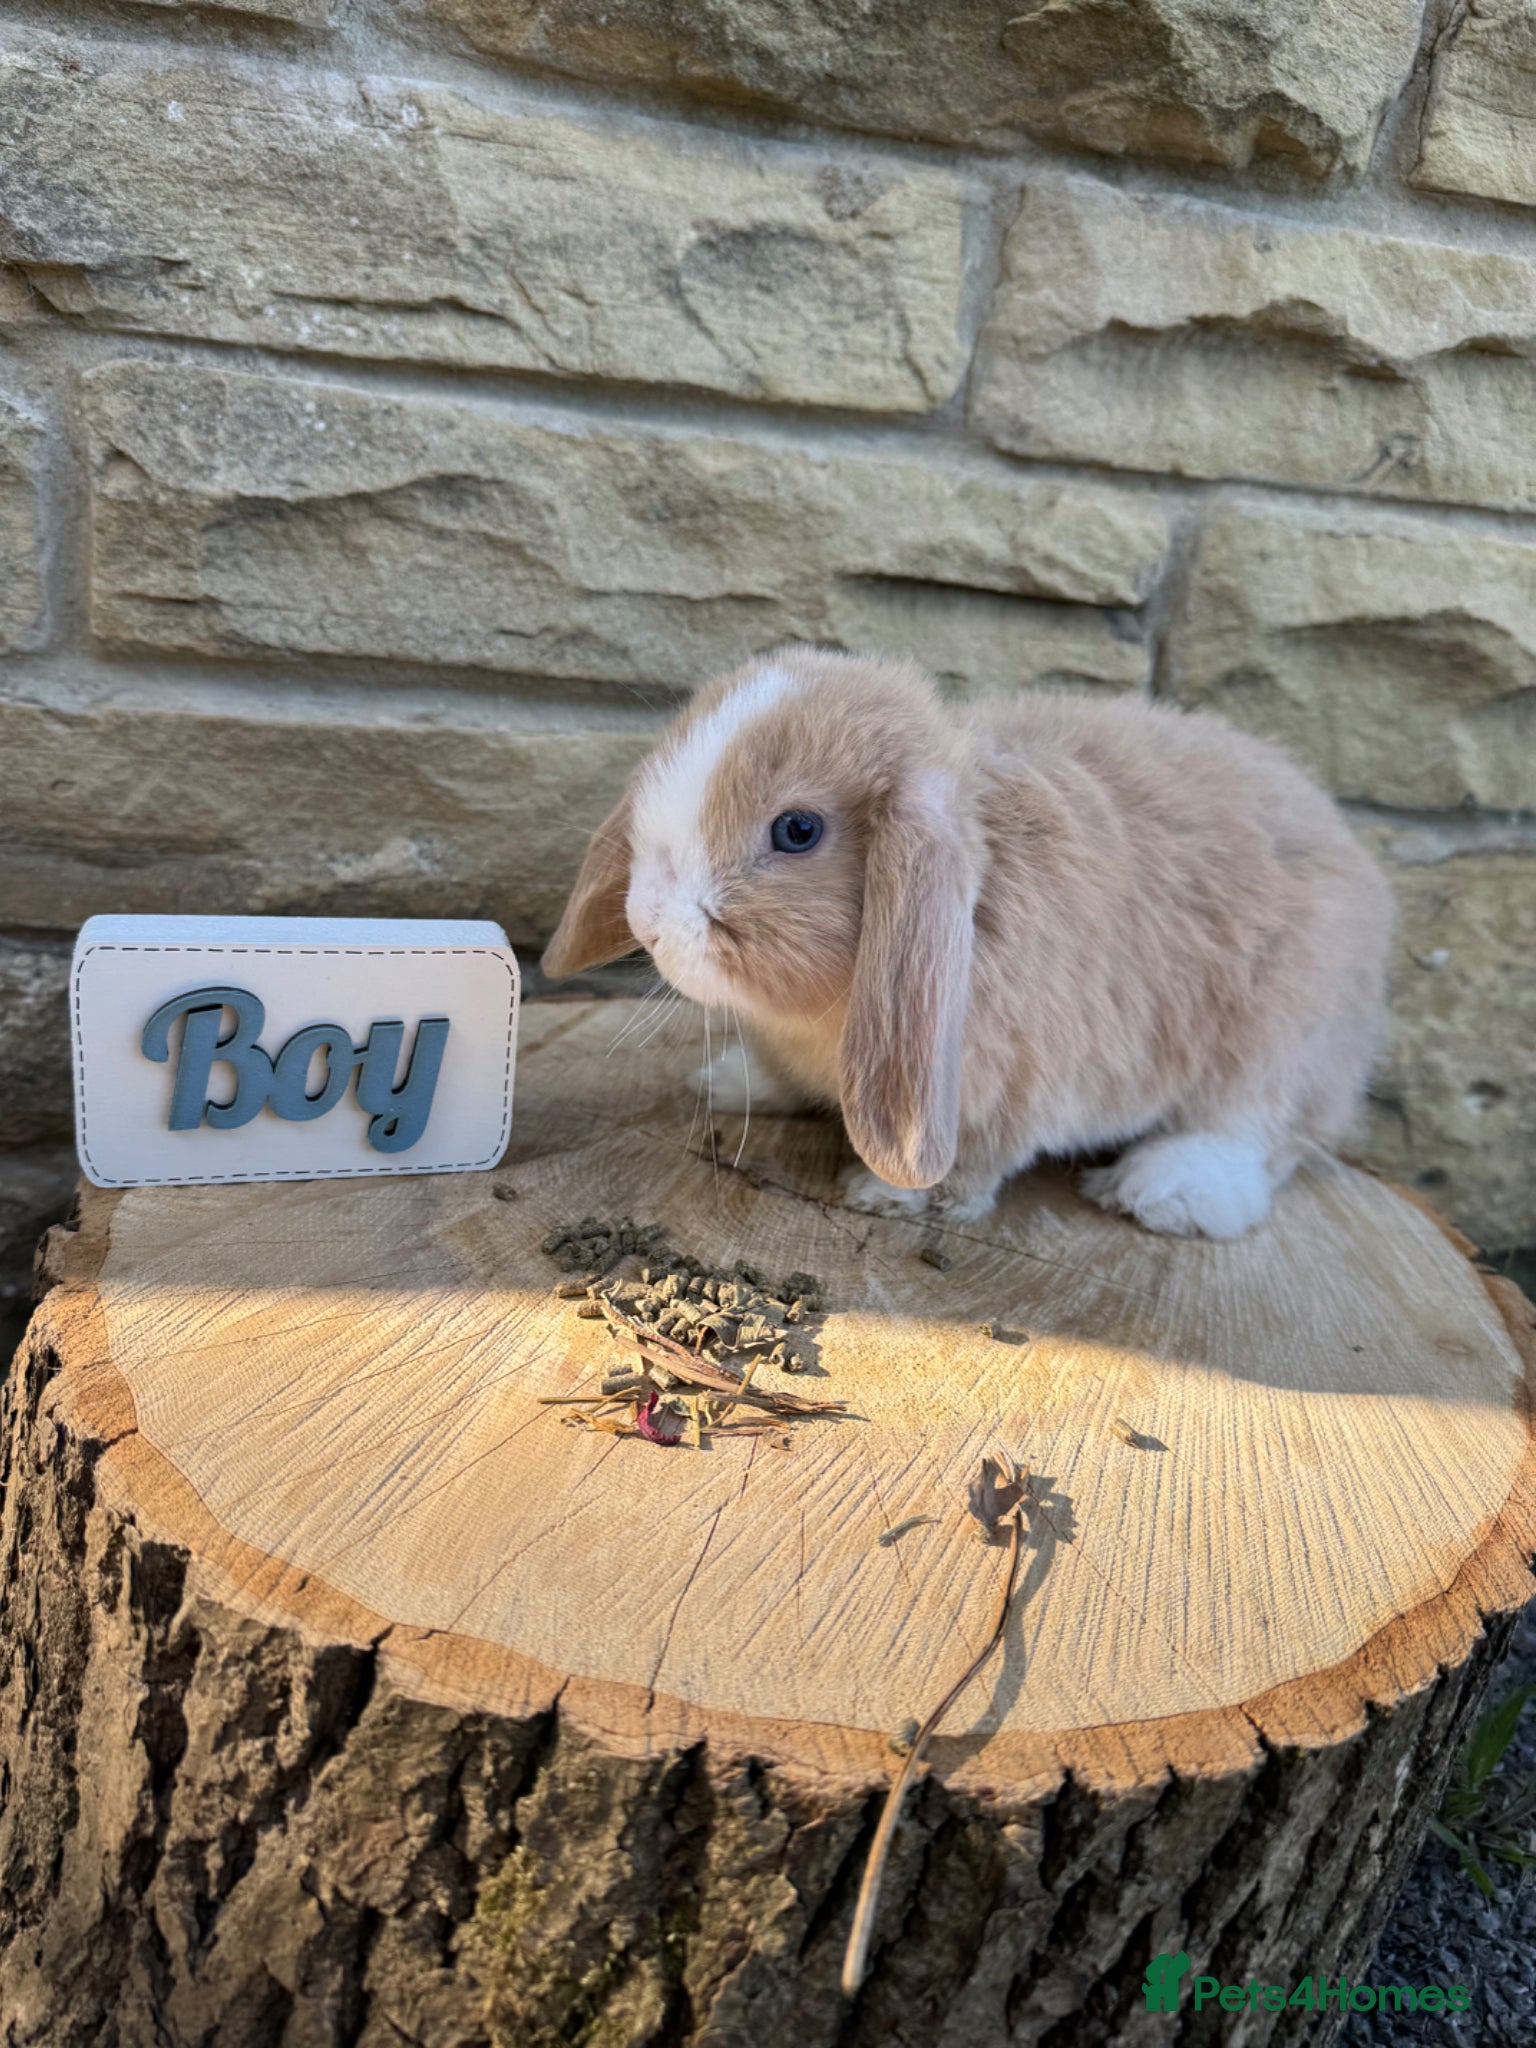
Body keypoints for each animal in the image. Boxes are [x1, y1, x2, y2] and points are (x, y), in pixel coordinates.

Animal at [541, 645, 1392, 1238]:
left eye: (797, 830)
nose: (647, 918)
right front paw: (733, 1079)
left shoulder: (1005, 1081)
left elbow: (974, 1157)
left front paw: (888, 1194)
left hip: (1280, 1040)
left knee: (1259, 1131)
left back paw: (1168, 1191)